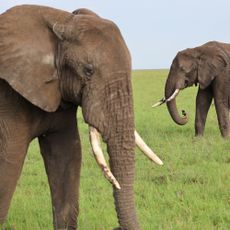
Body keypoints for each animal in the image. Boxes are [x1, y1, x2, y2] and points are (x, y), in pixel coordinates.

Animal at [0, 4, 164, 230]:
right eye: (88, 71)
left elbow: (67, 155)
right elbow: (9, 161)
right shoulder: (9, 98)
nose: (116, 226)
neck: (60, 20)